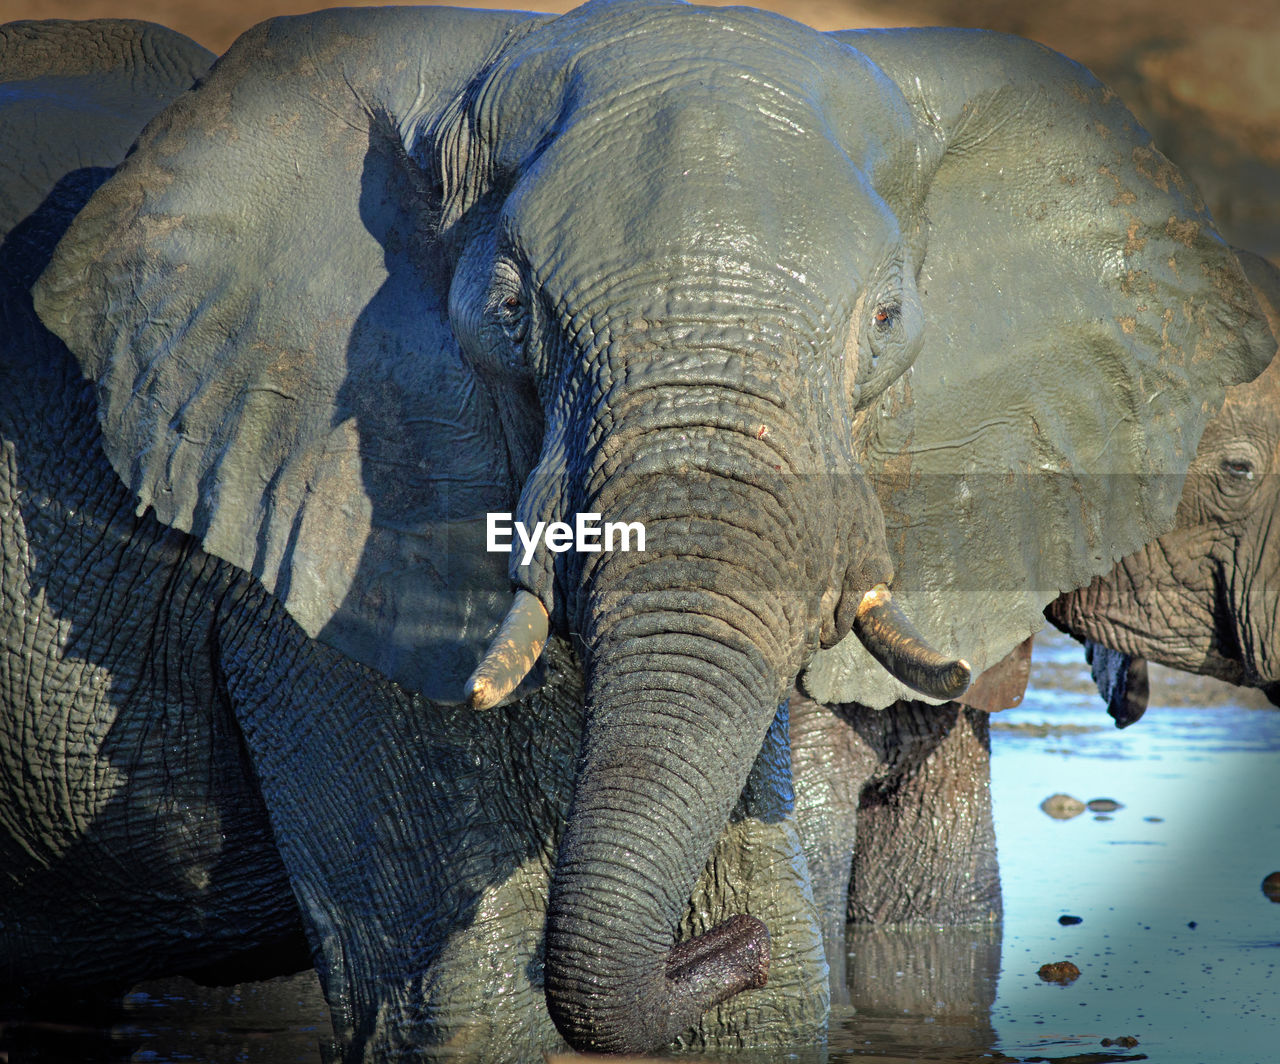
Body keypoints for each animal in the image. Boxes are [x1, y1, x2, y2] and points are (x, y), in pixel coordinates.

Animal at [7, 4, 1269, 1060]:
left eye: (885, 318)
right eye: (509, 312)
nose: (714, 947)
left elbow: (783, 995)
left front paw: (751, 947)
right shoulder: (321, 532)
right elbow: (475, 999)